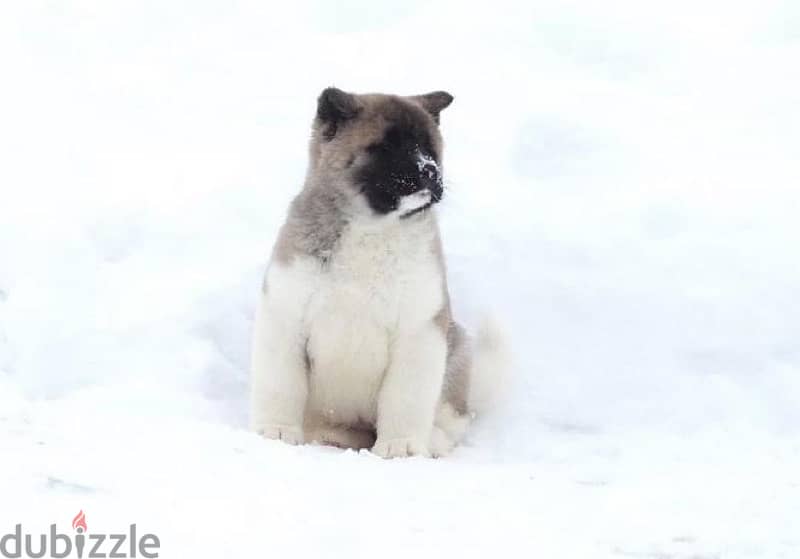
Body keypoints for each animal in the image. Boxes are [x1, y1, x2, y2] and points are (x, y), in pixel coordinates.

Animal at [250, 87, 504, 460]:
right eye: (386, 147)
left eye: (429, 147)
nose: (430, 171)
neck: (372, 229)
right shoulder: (285, 316)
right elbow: (281, 385)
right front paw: (277, 431)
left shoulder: (419, 330)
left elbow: (405, 400)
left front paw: (401, 447)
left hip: (455, 351)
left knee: (452, 419)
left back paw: (434, 441)